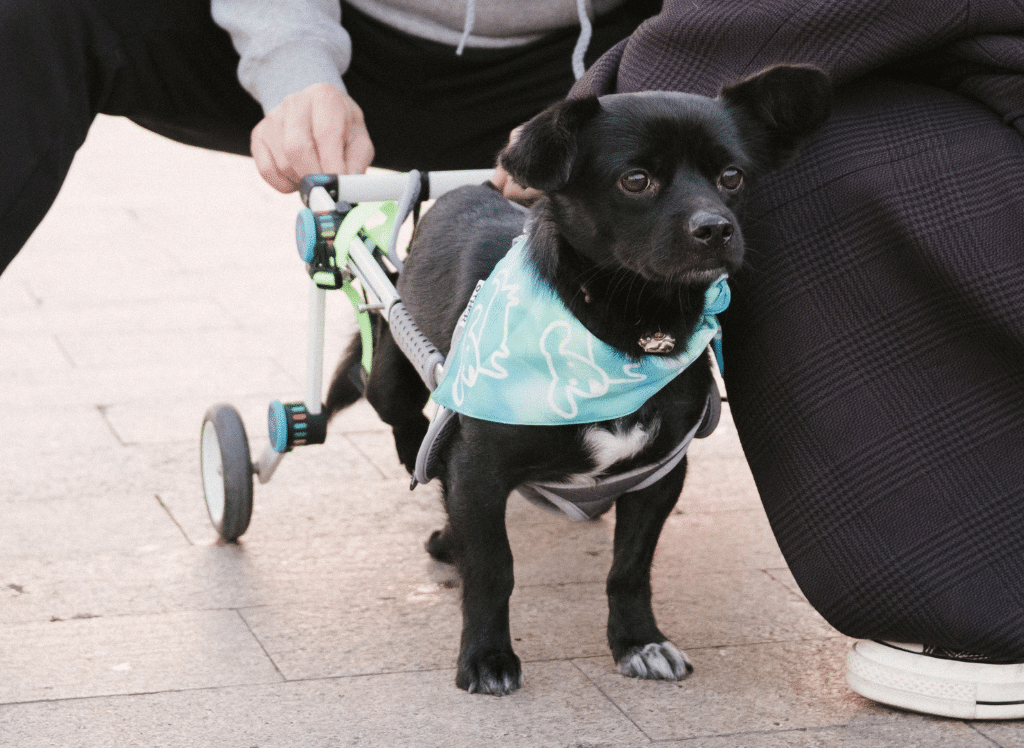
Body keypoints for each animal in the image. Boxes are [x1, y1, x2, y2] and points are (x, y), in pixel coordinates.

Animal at [327, 64, 831, 692]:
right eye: (635, 179)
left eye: (732, 176)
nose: (716, 228)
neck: (624, 331)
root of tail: (476, 187)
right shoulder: (479, 472)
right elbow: (493, 568)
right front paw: (487, 657)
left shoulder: (658, 475)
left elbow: (630, 568)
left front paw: (638, 642)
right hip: (393, 377)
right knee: (403, 419)